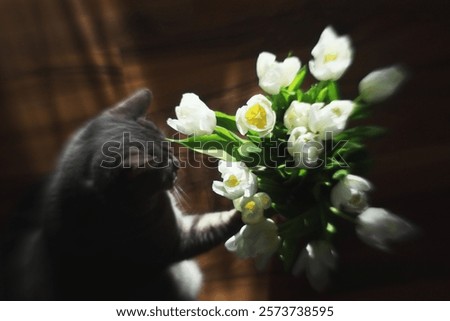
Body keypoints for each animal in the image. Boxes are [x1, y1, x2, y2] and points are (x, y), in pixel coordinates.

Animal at [0, 89, 243, 298]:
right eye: (167, 166)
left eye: (170, 149)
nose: (178, 164)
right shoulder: (174, 242)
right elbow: (217, 223)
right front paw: (249, 207)